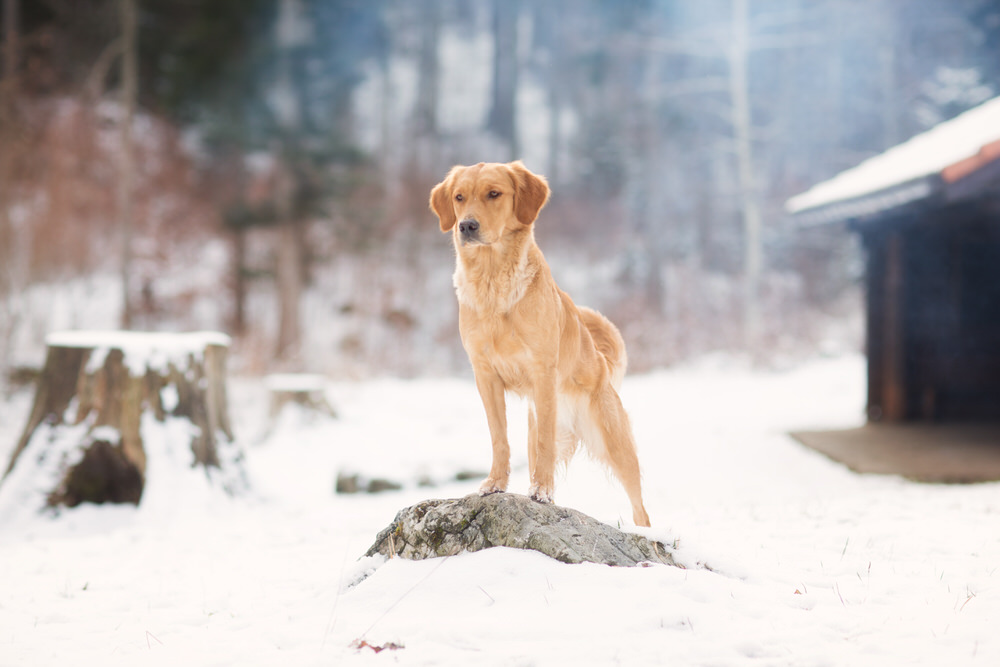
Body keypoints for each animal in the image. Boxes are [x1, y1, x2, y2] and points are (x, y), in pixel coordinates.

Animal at [428, 162, 648, 528]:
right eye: (459, 197)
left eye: (494, 193)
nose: (466, 225)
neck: (494, 283)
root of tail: (601, 363)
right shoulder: (484, 375)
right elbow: (499, 438)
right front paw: (495, 484)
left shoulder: (543, 372)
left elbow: (545, 443)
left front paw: (542, 492)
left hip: (615, 445)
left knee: (639, 508)